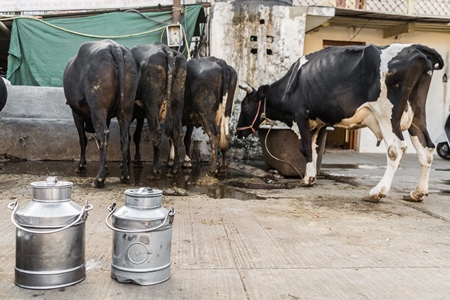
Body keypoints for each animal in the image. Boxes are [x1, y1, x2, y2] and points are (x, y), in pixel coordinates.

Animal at [62, 38, 137, 186]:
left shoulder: (76, 114)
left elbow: (82, 139)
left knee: (103, 134)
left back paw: (99, 179)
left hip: (98, 107)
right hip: (126, 107)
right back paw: (124, 175)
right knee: (124, 136)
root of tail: (114, 47)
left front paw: (81, 165)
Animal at [130, 42, 186, 178]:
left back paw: (155, 171)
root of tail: (165, 48)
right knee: (178, 133)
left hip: (152, 106)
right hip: (177, 103)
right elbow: (136, 135)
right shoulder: (140, 113)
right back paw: (175, 169)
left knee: (156, 133)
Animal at [236, 43, 442, 203]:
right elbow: (315, 149)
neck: (290, 83)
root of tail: (414, 47)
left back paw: (377, 192)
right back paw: (417, 193)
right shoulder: (318, 122)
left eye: (245, 106)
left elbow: (306, 148)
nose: (238, 132)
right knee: (427, 148)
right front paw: (312, 176)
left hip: (386, 114)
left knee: (395, 149)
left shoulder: (300, 115)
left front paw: (306, 180)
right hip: (417, 114)